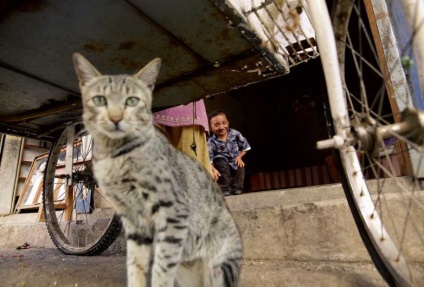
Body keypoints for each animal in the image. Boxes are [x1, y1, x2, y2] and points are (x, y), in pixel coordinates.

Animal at [73, 53, 242, 287]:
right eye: (100, 100)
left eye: (132, 101)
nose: (116, 118)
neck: (115, 156)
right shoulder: (134, 221)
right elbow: (135, 264)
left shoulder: (173, 213)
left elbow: (162, 267)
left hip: (222, 260)